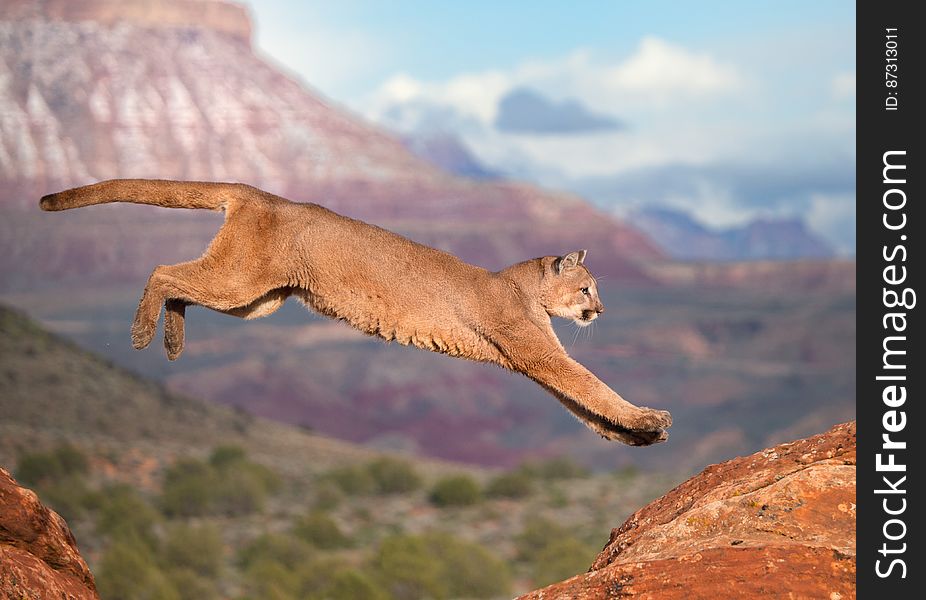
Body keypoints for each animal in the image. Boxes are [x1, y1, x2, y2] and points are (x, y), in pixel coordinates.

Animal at [40, 180, 676, 448]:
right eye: (588, 288)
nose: (601, 310)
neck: (524, 286)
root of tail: (261, 194)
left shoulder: (534, 361)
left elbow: (584, 405)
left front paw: (638, 434)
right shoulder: (538, 352)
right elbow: (591, 385)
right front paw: (647, 417)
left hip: (257, 300)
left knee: (181, 284)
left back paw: (172, 340)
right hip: (241, 281)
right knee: (161, 272)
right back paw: (144, 335)